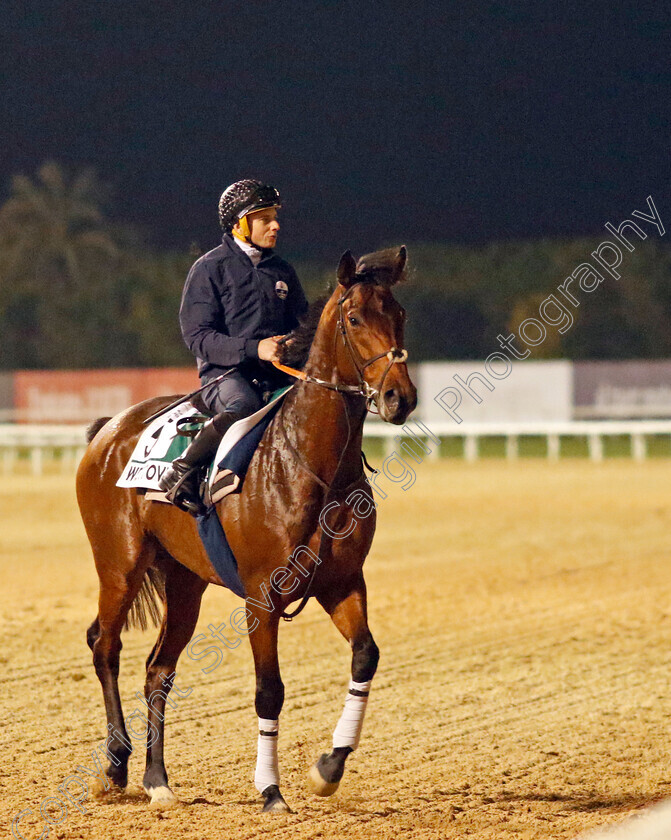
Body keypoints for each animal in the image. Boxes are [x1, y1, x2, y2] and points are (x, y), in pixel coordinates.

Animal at [76, 246, 418, 812]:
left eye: (399, 314)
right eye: (354, 319)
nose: (399, 397)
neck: (309, 464)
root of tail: (108, 430)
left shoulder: (343, 582)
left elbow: (365, 657)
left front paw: (328, 768)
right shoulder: (262, 595)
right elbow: (269, 690)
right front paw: (271, 790)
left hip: (184, 581)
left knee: (158, 670)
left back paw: (157, 778)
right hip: (119, 566)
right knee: (106, 646)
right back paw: (115, 766)